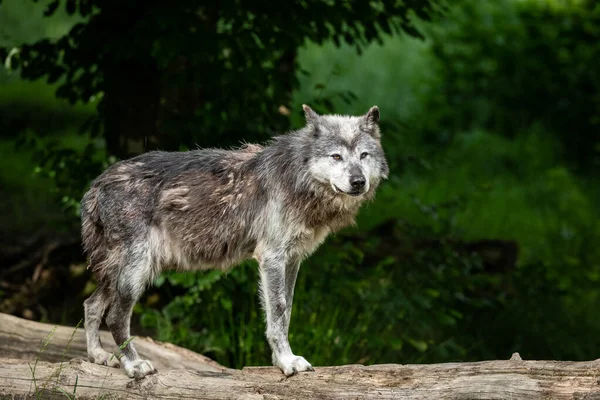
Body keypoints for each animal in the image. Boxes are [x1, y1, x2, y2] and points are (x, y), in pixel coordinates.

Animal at [79, 104, 390, 378]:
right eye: (336, 157)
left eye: (363, 155)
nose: (358, 182)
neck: (298, 179)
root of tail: (96, 184)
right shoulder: (272, 257)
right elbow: (278, 312)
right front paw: (287, 362)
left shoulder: (292, 260)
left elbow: (286, 311)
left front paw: (282, 359)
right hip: (138, 270)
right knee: (115, 317)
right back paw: (133, 366)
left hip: (121, 271)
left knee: (91, 304)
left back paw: (97, 356)